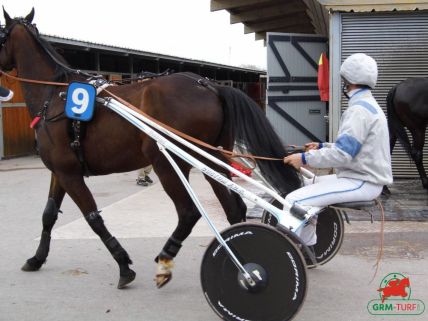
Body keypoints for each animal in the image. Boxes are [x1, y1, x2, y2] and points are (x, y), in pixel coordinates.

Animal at [0, 8, 300, 288]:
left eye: (1, 33)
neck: (56, 96)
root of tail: (209, 85)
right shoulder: (60, 171)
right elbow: (49, 215)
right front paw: (36, 258)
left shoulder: (69, 173)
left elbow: (93, 218)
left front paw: (123, 265)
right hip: (212, 159)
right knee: (234, 207)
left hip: (168, 163)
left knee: (188, 212)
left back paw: (167, 259)